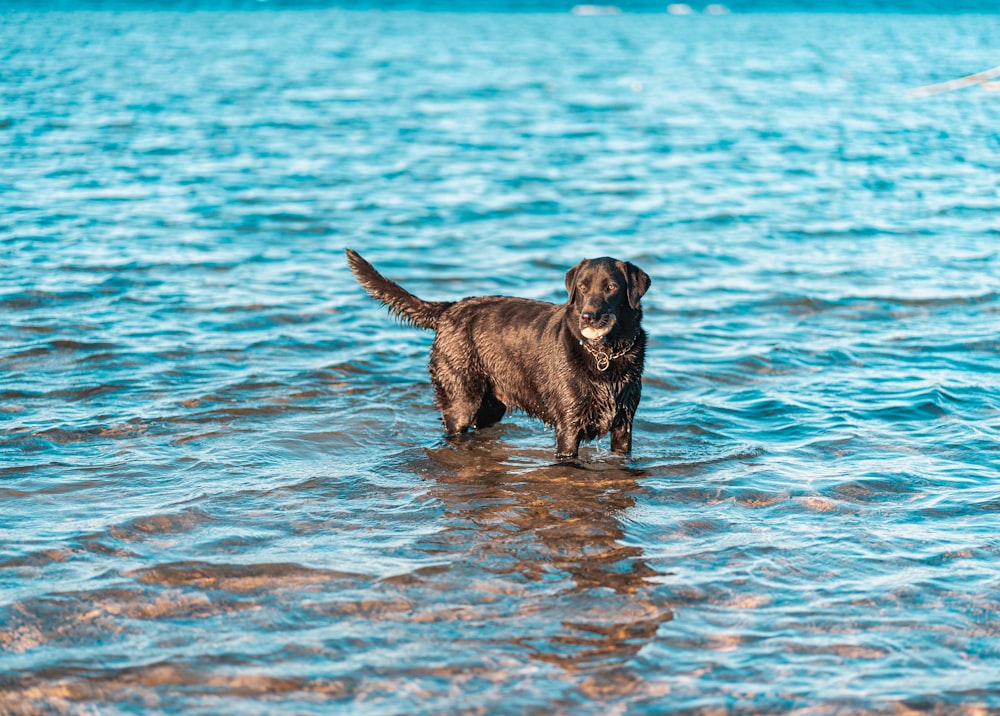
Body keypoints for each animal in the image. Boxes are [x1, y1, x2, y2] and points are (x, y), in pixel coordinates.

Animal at [348, 246, 652, 458]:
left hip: (490, 406)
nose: (588, 316)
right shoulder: (568, 426)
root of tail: (449, 309)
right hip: (460, 398)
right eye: (582, 287)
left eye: (611, 287)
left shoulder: (624, 424)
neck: (604, 355)